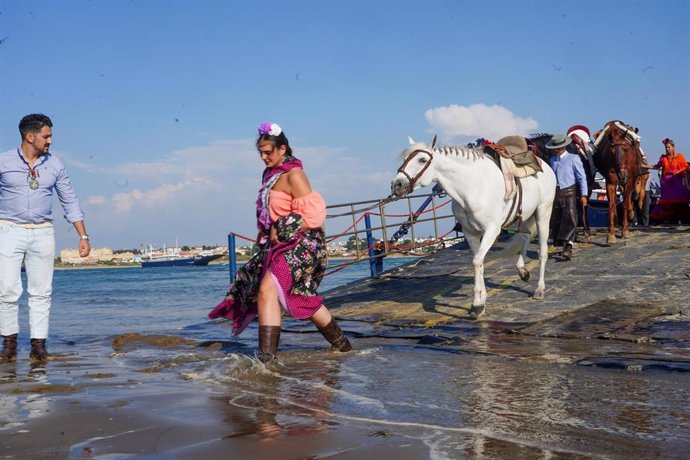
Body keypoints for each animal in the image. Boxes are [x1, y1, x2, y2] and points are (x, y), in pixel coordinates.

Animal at [390, 135, 556, 318]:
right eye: (405, 159)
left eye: (422, 160)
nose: (396, 184)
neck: (473, 187)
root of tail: (545, 166)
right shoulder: (471, 233)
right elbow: (479, 261)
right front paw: (482, 299)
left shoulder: (492, 230)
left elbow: (477, 261)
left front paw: (477, 305)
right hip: (526, 214)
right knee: (525, 236)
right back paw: (522, 270)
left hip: (543, 212)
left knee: (542, 251)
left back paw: (539, 289)